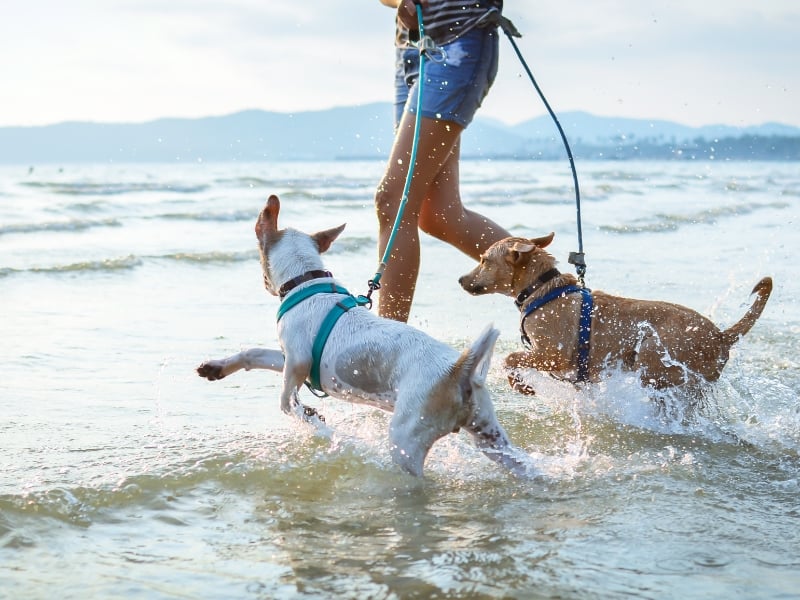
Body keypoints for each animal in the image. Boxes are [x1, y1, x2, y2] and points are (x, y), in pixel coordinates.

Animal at [196, 197, 528, 478]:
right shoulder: (289, 356)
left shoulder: (298, 361)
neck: (307, 281)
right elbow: (253, 354)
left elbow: (287, 401)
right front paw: (216, 367)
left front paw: (312, 419)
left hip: (406, 440)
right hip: (491, 438)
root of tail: (460, 370)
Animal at [460, 233, 772, 394]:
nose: (461, 280)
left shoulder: (553, 355)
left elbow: (511, 358)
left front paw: (520, 385)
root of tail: (721, 336)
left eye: (484, 260)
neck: (542, 289)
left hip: (653, 354)